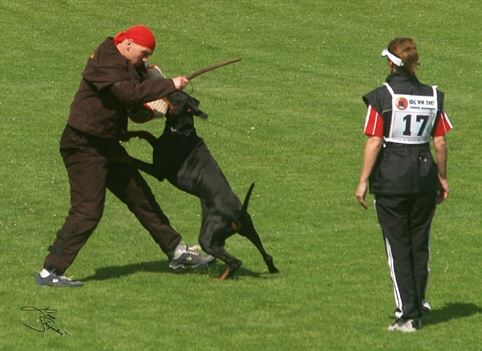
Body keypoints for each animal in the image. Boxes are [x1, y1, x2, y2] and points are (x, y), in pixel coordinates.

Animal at [126, 91, 280, 280]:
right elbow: (148, 134)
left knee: (235, 261)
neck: (180, 132)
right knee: (266, 255)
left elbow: (132, 159)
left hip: (207, 238)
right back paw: (272, 270)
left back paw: (219, 279)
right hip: (248, 229)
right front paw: (131, 133)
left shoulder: (158, 171)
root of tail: (237, 216)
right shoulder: (159, 145)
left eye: (173, 95)